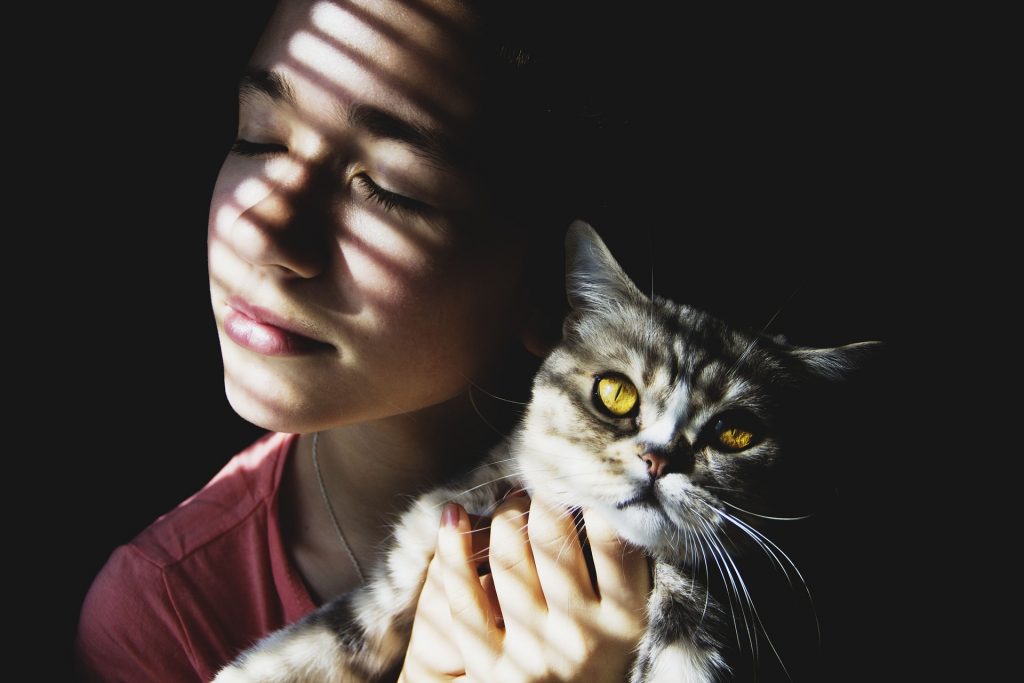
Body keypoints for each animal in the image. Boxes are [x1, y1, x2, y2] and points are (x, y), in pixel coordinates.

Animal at [211, 222, 876, 679]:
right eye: (615, 392)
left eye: (735, 434)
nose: (658, 461)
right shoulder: (433, 522)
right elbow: (336, 630)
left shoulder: (703, 616)